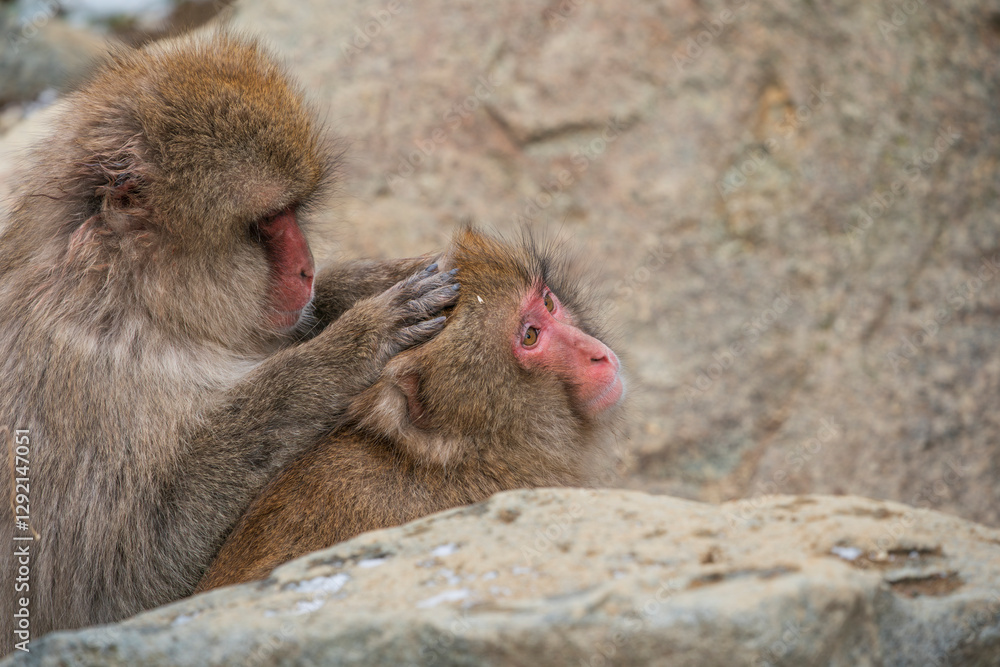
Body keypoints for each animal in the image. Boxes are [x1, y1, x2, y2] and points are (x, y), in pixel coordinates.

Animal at [0, 32, 460, 651]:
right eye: (267, 220)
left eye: (295, 211)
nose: (307, 270)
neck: (134, 301)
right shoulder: (80, 376)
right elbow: (123, 583)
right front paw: (351, 347)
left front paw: (366, 283)